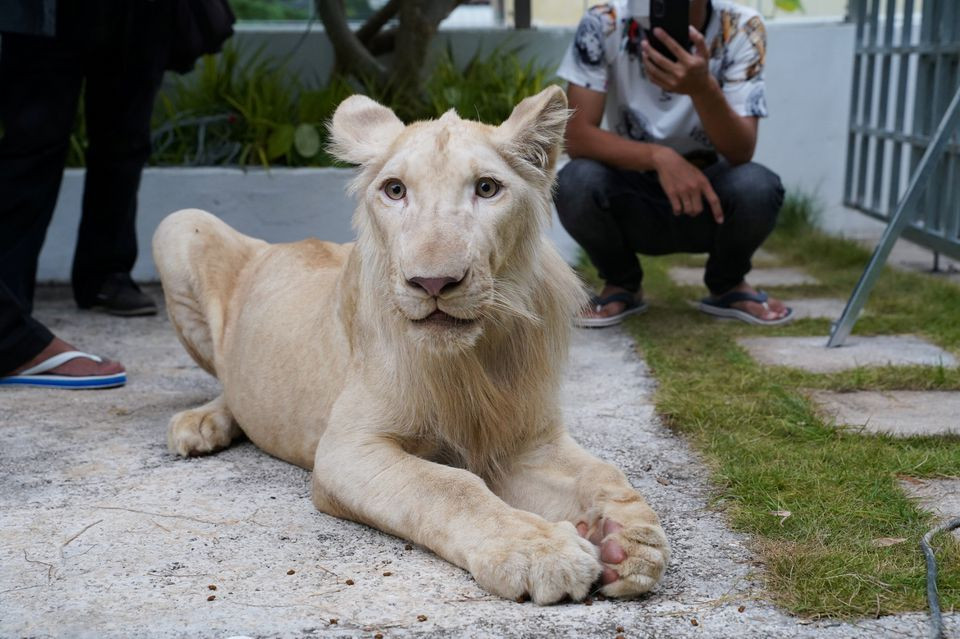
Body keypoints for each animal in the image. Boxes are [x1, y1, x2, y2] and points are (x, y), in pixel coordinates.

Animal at [156, 86, 668, 604]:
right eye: (395, 190)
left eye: (487, 188)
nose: (434, 282)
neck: (470, 357)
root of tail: (280, 243)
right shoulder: (346, 449)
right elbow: (448, 485)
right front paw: (542, 551)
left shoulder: (527, 439)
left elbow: (601, 472)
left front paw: (629, 540)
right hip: (179, 224)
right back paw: (202, 424)